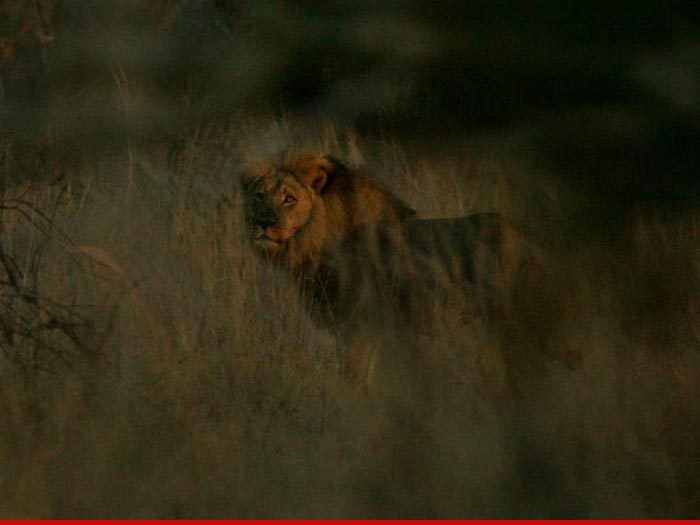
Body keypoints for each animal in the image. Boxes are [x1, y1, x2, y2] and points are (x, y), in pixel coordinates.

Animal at [241, 152, 563, 394]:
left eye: (289, 199)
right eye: (258, 196)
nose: (263, 222)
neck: (313, 242)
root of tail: (534, 240)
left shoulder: (361, 324)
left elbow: (356, 376)